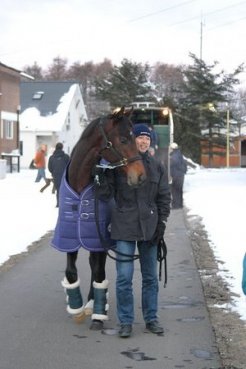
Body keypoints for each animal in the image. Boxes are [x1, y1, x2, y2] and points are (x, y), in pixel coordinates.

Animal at [50, 106, 146, 328]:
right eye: (123, 139)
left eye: (134, 137)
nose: (140, 176)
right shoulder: (70, 238)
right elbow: (71, 272)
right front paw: (76, 308)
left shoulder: (99, 239)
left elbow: (99, 274)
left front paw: (97, 314)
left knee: (96, 268)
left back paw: (93, 303)